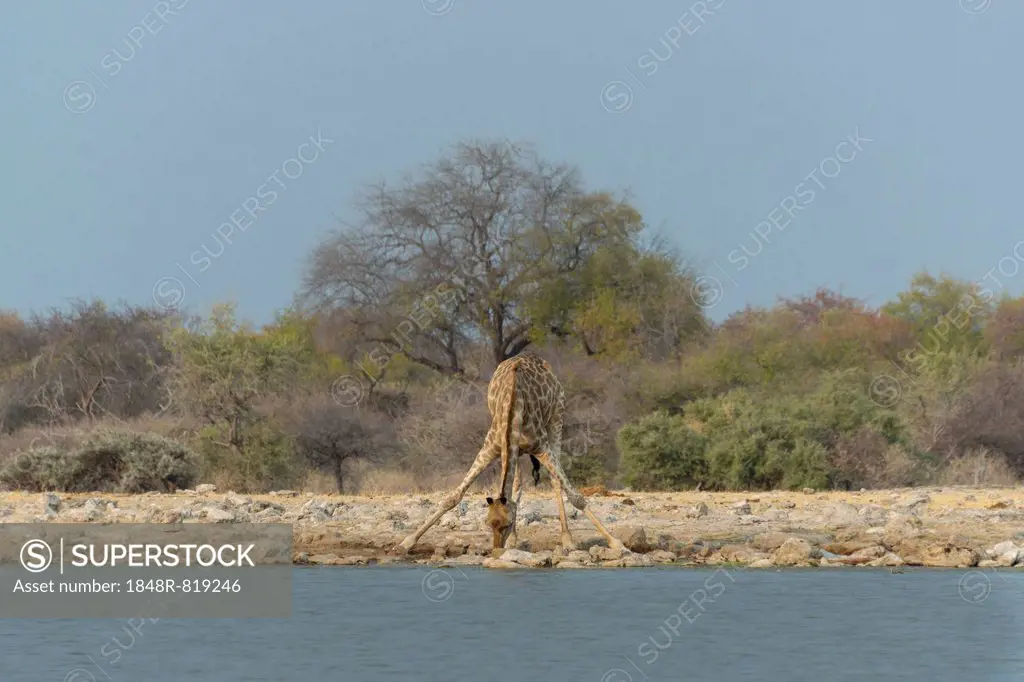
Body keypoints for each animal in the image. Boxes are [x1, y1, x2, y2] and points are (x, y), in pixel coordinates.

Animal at [395, 350, 626, 552]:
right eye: (488, 523)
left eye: (506, 523)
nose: (497, 549)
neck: (512, 408)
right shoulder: (491, 447)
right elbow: (453, 497)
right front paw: (406, 542)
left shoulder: (541, 446)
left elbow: (576, 497)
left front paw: (617, 544)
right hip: (519, 450)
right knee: (517, 483)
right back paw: (516, 540)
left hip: (556, 418)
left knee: (555, 480)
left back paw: (567, 540)